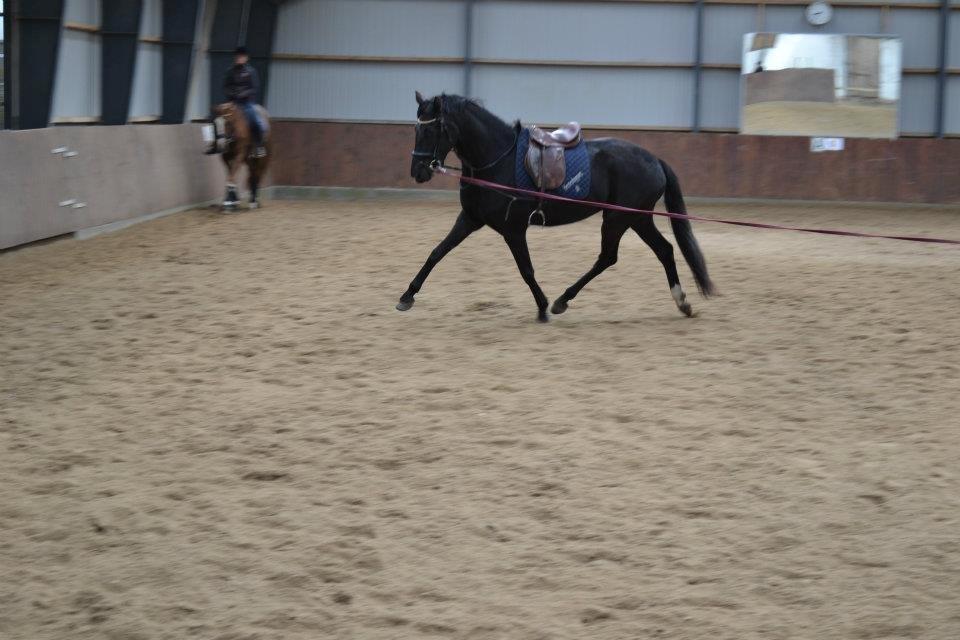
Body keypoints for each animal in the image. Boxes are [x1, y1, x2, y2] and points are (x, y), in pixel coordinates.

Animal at [394, 92, 716, 322]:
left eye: (432, 131)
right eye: (416, 129)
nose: (418, 171)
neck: (497, 160)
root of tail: (654, 160)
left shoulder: (513, 229)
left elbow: (526, 269)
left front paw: (542, 306)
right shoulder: (470, 219)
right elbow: (437, 253)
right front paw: (407, 296)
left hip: (618, 218)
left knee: (609, 257)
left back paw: (562, 300)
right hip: (636, 219)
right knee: (663, 250)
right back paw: (682, 302)